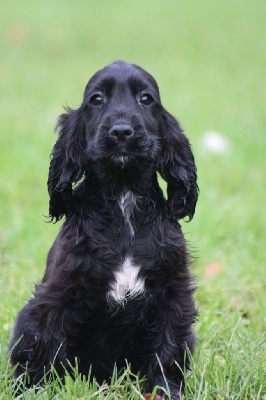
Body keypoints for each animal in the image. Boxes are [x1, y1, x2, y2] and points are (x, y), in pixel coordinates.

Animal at [8, 61, 197, 398]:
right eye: (96, 100)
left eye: (146, 99)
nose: (121, 131)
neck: (123, 200)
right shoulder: (56, 295)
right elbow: (44, 346)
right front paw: (35, 390)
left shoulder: (172, 293)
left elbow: (168, 351)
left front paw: (166, 391)